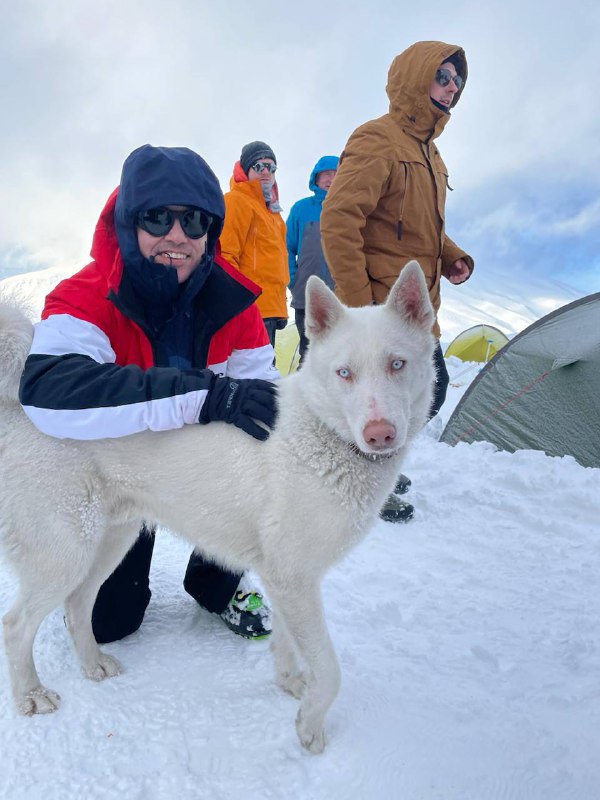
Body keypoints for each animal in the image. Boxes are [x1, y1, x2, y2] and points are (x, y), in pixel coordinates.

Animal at [0, 260, 434, 752]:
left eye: (397, 364)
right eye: (344, 373)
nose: (380, 433)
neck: (322, 434)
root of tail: (18, 408)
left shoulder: (289, 581)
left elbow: (288, 643)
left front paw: (291, 685)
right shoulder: (293, 578)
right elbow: (330, 669)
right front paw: (310, 725)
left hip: (112, 541)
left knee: (77, 607)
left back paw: (93, 664)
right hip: (66, 552)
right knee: (16, 625)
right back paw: (31, 694)